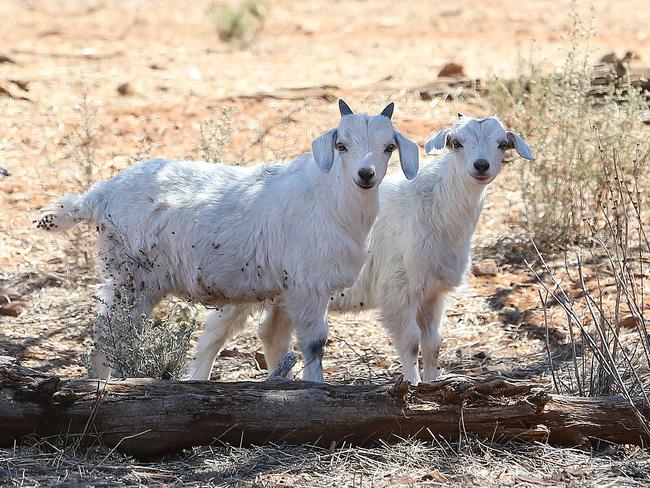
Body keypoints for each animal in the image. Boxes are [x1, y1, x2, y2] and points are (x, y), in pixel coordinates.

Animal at [36, 99, 420, 382]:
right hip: (132, 278)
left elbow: (278, 344)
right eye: (341, 145)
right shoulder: (308, 286)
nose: (365, 175)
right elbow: (314, 345)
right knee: (111, 331)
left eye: (389, 147)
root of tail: (98, 196)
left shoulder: (286, 291)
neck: (329, 198)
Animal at [258, 114, 532, 386]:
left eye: (502, 144)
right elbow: (411, 343)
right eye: (457, 143)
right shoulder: (398, 290)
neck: (433, 206)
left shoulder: (433, 292)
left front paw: (434, 384)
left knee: (271, 334)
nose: (481, 165)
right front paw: (413, 386)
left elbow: (433, 344)